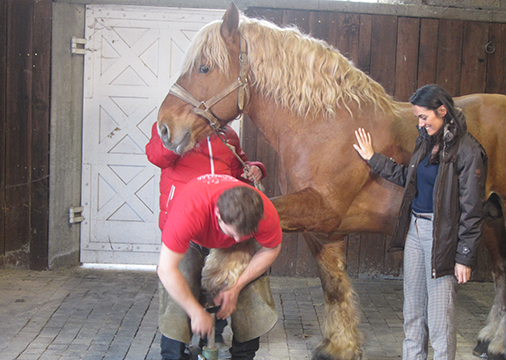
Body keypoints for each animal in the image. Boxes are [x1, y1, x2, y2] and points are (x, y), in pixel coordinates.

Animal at [156, 3, 506, 360]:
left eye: (204, 68)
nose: (165, 128)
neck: (327, 125)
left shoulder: (322, 208)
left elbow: (258, 212)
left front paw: (218, 269)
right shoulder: (322, 230)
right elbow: (334, 287)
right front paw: (340, 346)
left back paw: (496, 342)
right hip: (491, 220)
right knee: (501, 275)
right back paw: (490, 339)